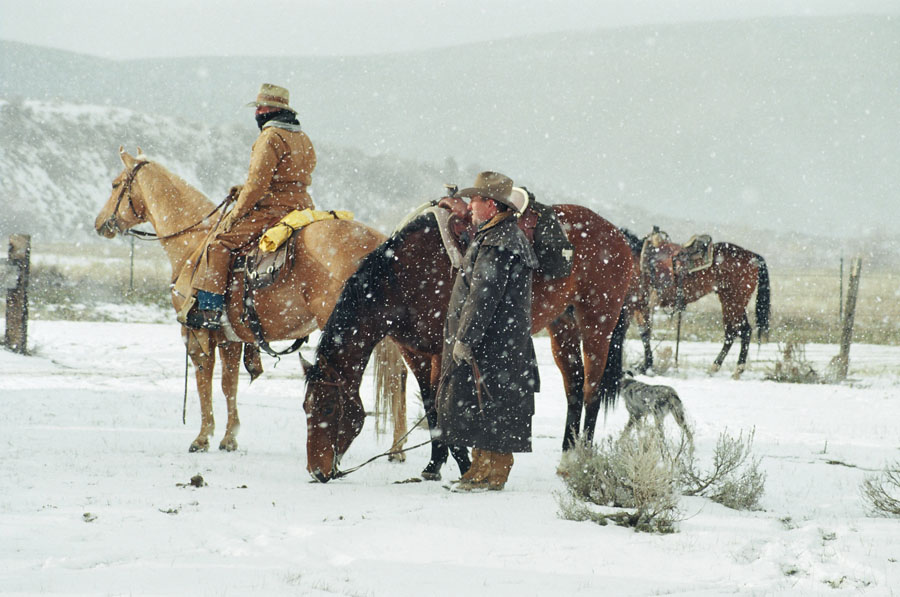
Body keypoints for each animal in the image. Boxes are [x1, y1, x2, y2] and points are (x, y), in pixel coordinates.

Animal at [95, 148, 404, 452]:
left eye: (115, 184)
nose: (100, 223)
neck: (193, 244)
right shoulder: (230, 338)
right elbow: (228, 384)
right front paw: (229, 437)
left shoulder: (195, 334)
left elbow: (204, 381)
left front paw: (202, 437)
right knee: (399, 376)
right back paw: (397, 447)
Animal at [302, 203, 632, 482]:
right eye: (306, 407)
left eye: (329, 409)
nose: (317, 471)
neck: (404, 277)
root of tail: (617, 233)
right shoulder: (415, 352)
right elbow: (430, 405)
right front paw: (434, 465)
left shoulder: (443, 348)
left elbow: (442, 403)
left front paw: (462, 463)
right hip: (562, 326)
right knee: (573, 387)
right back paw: (566, 458)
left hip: (597, 325)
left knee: (591, 390)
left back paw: (582, 459)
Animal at [620, 228, 772, 378]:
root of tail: (754, 257)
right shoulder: (639, 307)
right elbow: (644, 333)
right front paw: (646, 366)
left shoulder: (633, 305)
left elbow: (636, 334)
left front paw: (644, 367)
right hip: (732, 302)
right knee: (737, 331)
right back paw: (721, 368)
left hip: (734, 302)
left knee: (738, 332)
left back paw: (731, 368)